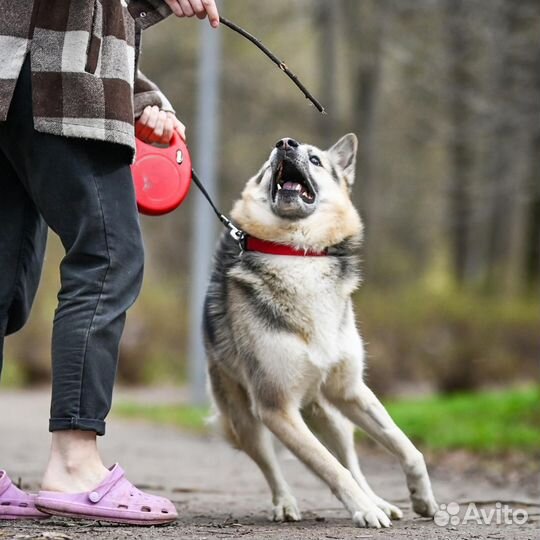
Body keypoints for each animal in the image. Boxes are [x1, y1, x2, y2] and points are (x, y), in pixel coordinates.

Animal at [202, 134, 438, 528]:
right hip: (248, 421)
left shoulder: (351, 390)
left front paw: (421, 498)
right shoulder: (277, 409)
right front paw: (363, 510)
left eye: (314, 159)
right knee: (272, 465)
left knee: (352, 460)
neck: (298, 254)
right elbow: (330, 468)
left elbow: (405, 446)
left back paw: (379, 500)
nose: (284, 143)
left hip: (335, 414)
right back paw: (287, 503)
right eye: (268, 162)